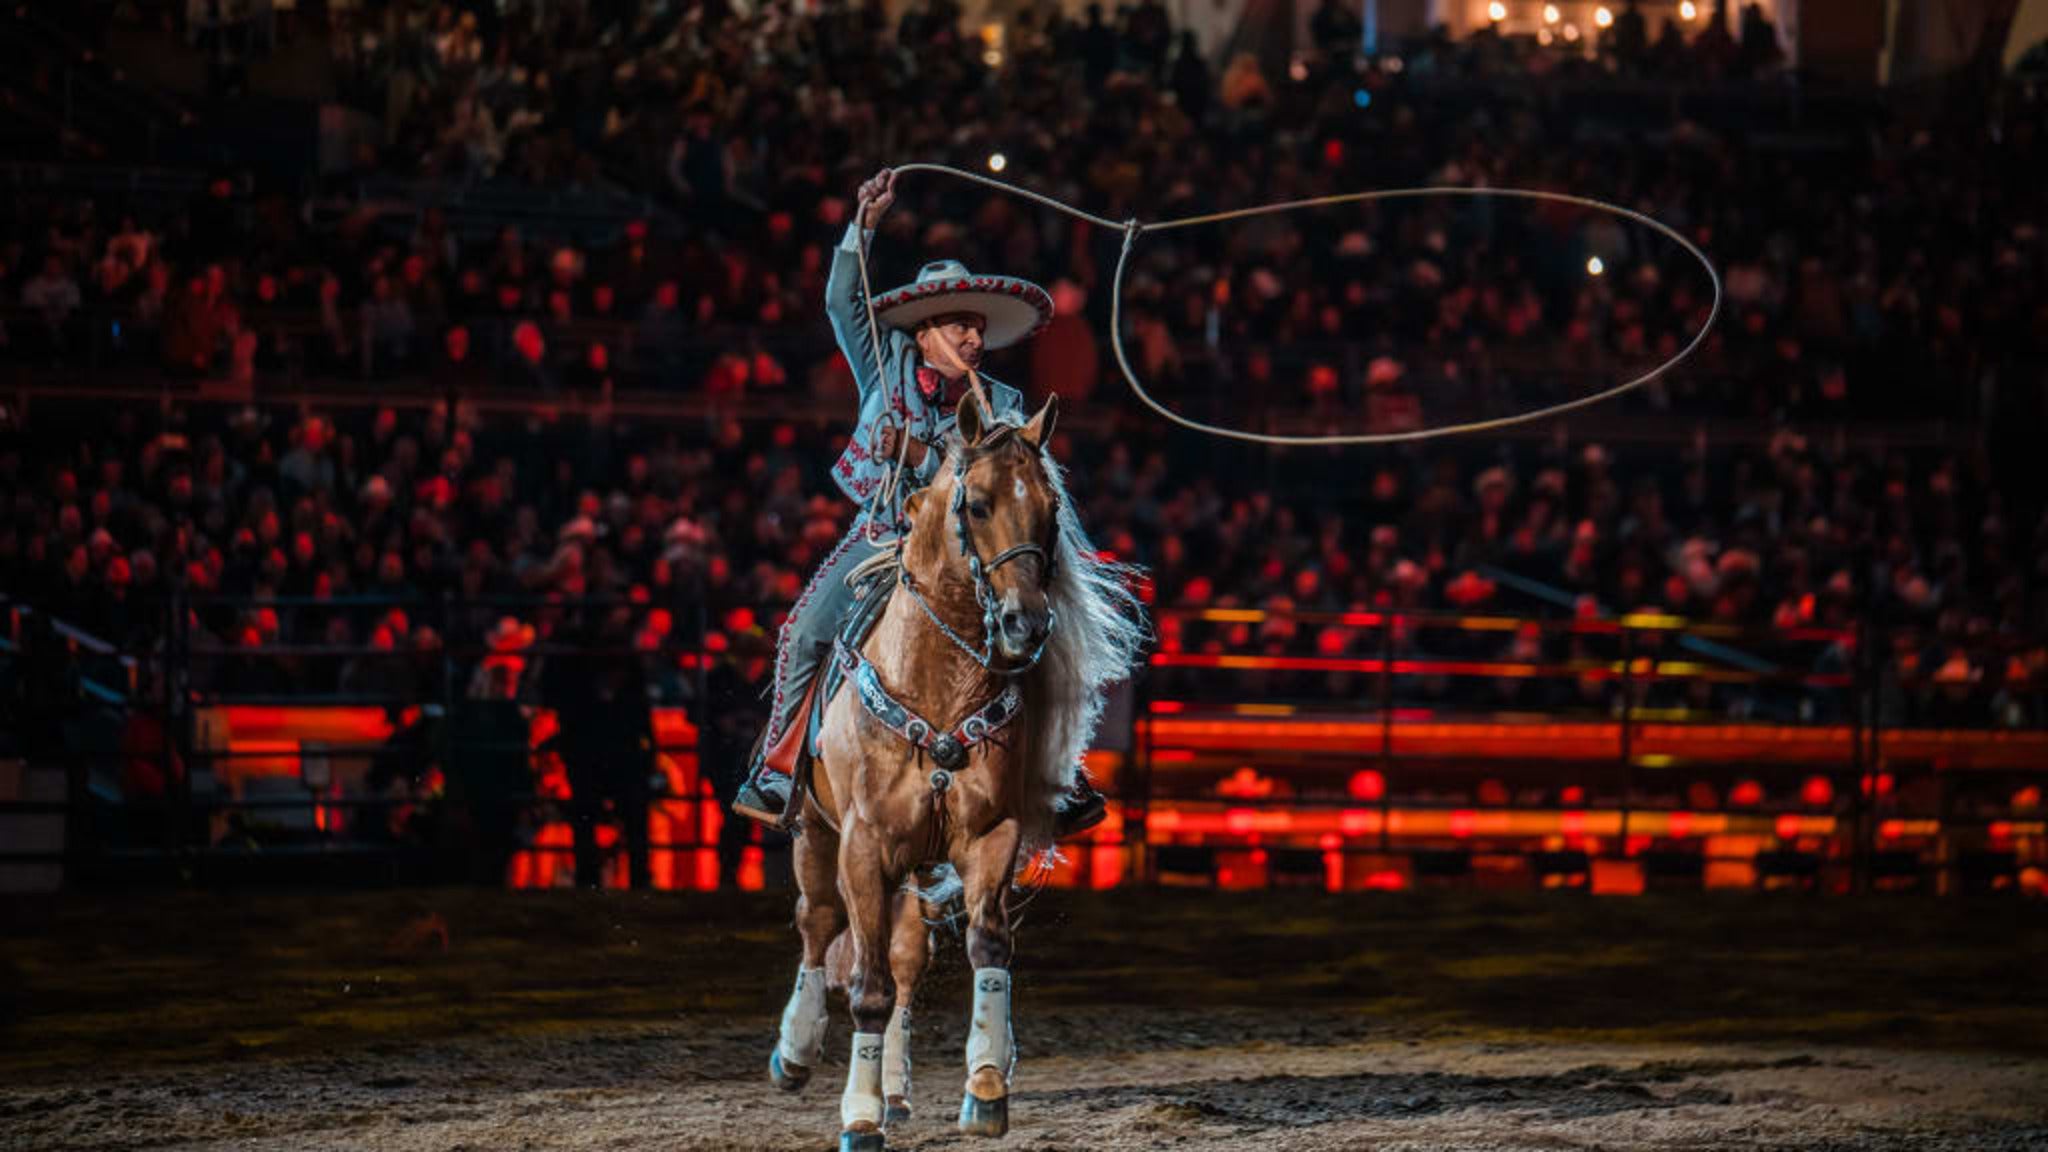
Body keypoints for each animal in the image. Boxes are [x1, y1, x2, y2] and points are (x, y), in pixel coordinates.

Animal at [761, 389, 1146, 1139]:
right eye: (979, 505)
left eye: (1051, 509)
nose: (1026, 623)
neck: (935, 682)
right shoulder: (863, 846)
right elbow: (867, 986)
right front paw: (859, 1119)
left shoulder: (989, 835)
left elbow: (986, 948)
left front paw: (987, 1085)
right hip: (815, 833)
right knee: (818, 924)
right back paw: (795, 1051)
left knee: (907, 958)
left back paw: (896, 1088)